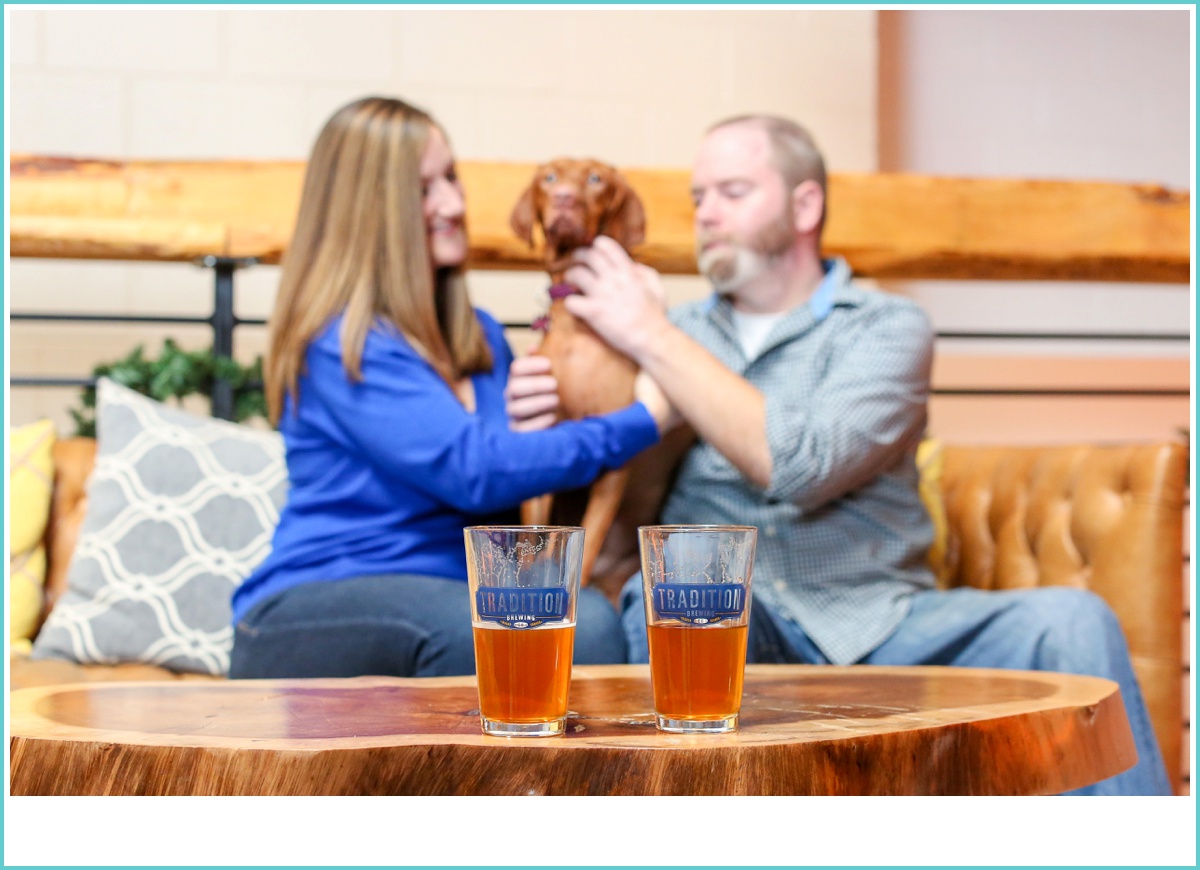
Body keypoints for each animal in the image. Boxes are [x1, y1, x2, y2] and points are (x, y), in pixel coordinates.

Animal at [508, 159, 691, 600]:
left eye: (595, 180)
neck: (576, 330)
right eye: (550, 178)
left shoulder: (614, 466)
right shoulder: (546, 448)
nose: (564, 199)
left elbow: (586, 544)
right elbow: (534, 537)